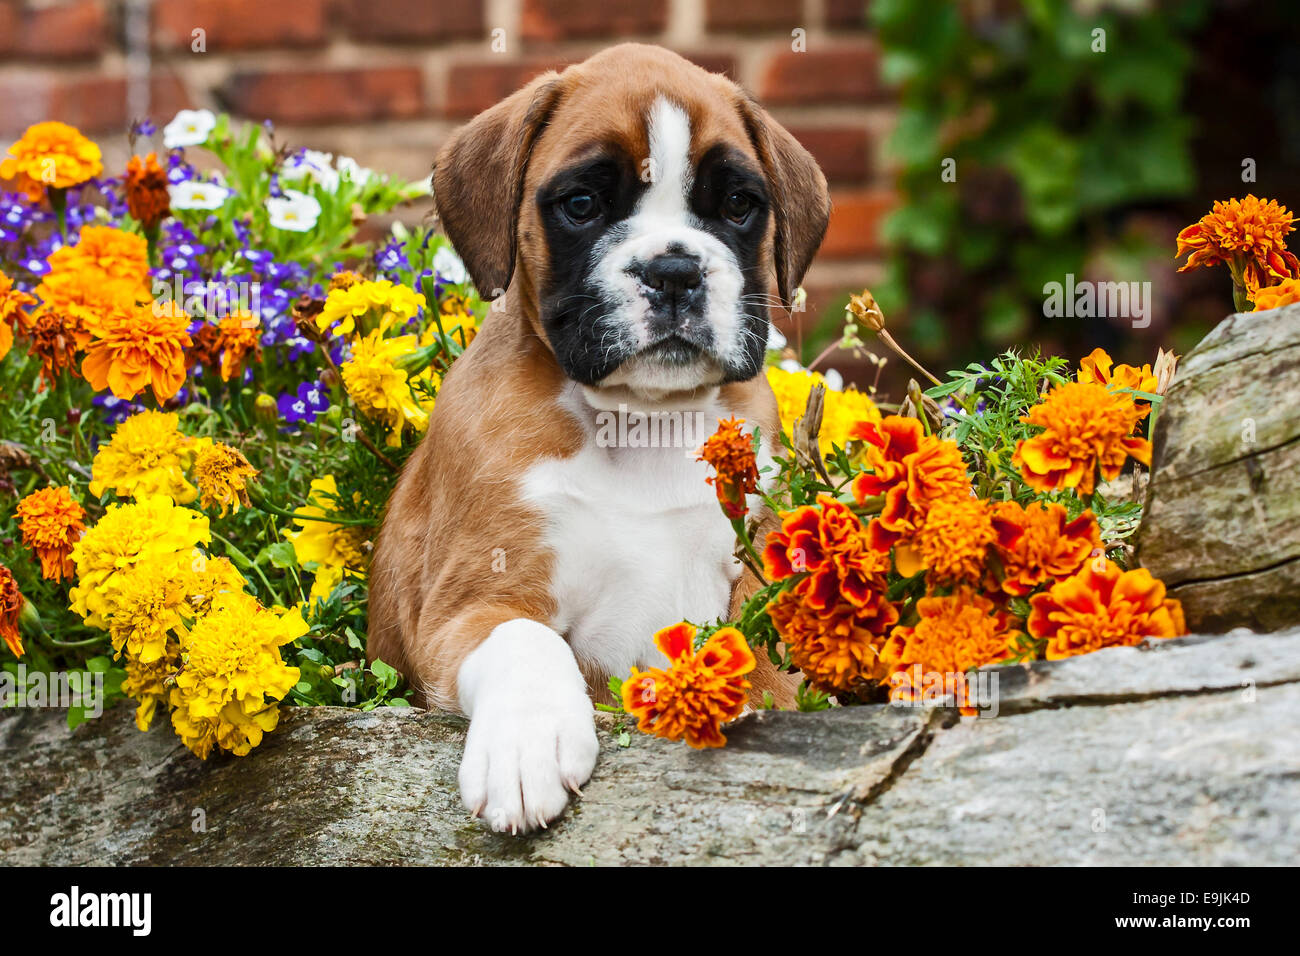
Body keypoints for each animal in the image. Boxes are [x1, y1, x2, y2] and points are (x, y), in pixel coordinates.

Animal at [369, 44, 832, 832]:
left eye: (738, 205)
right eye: (582, 205)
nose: (674, 270)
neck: (642, 420)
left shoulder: (759, 563)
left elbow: (765, 658)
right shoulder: (469, 609)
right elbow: (524, 640)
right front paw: (525, 744)